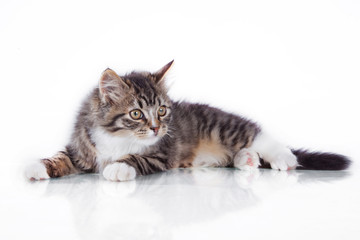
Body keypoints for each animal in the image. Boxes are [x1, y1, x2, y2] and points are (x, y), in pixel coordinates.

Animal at [23, 61, 350, 181]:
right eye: (136, 113)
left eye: (162, 110)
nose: (156, 128)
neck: (117, 137)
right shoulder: (82, 146)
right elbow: (61, 156)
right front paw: (38, 166)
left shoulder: (160, 154)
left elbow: (135, 158)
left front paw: (118, 167)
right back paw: (247, 160)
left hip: (224, 126)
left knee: (259, 134)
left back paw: (284, 157)